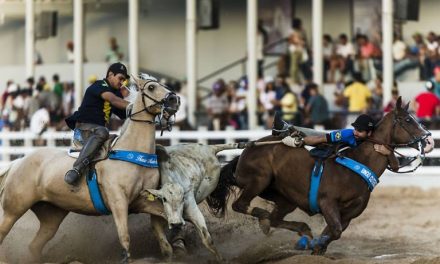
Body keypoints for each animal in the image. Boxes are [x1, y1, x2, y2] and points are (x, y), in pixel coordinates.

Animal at [0, 73, 180, 262]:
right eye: (151, 87)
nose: (174, 99)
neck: (133, 150)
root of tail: (17, 163)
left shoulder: (142, 200)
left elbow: (163, 217)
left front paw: (171, 247)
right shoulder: (118, 201)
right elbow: (124, 235)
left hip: (51, 216)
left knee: (34, 246)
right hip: (13, 210)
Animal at [212, 97, 430, 256]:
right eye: (408, 120)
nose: (428, 139)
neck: (358, 162)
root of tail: (245, 152)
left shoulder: (349, 214)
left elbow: (333, 233)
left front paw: (316, 246)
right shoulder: (327, 203)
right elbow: (334, 231)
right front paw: (312, 244)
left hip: (285, 199)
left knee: (275, 219)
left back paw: (298, 229)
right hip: (259, 180)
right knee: (241, 205)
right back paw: (265, 217)